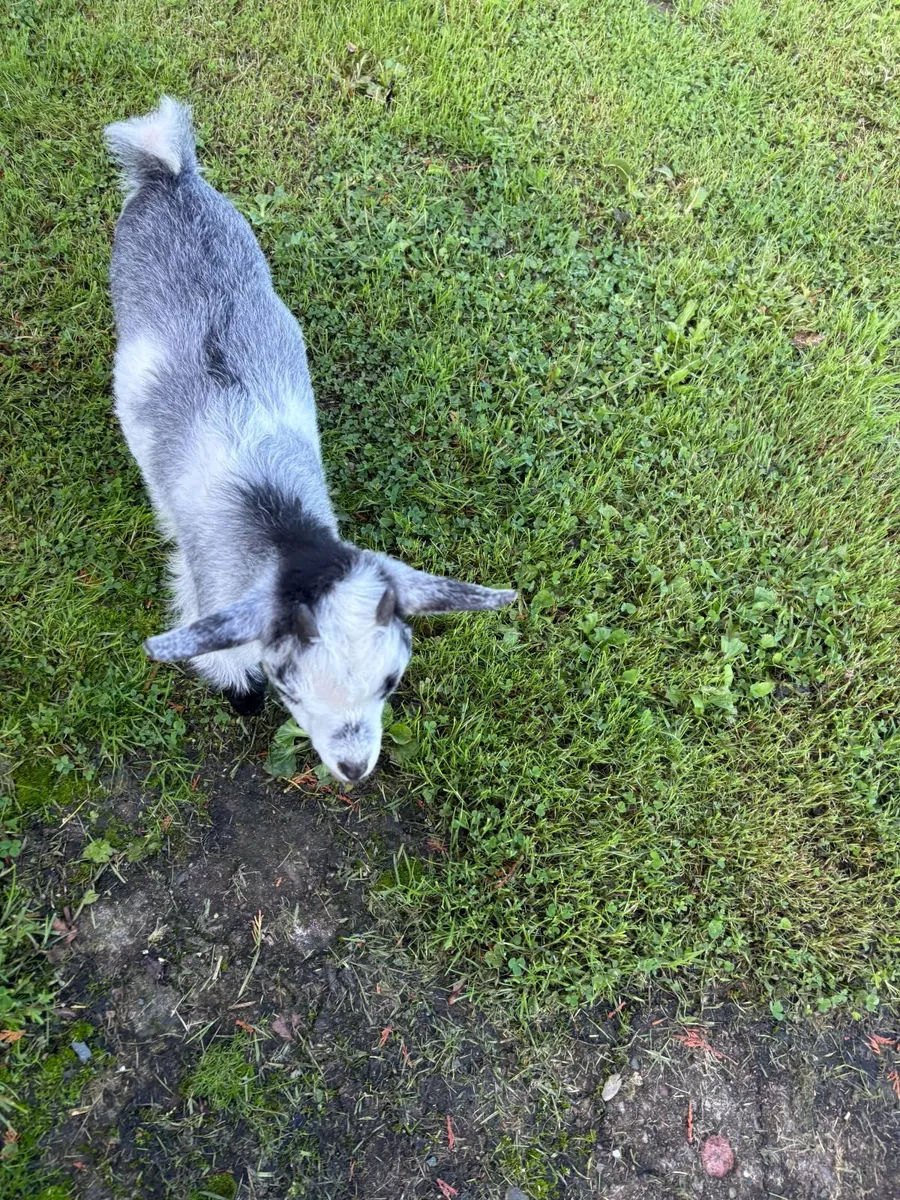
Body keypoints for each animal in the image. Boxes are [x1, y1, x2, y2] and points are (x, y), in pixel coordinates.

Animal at [104, 97, 516, 783]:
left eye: (390, 681)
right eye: (287, 688)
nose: (353, 768)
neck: (280, 528)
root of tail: (170, 172)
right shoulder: (208, 586)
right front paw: (238, 695)